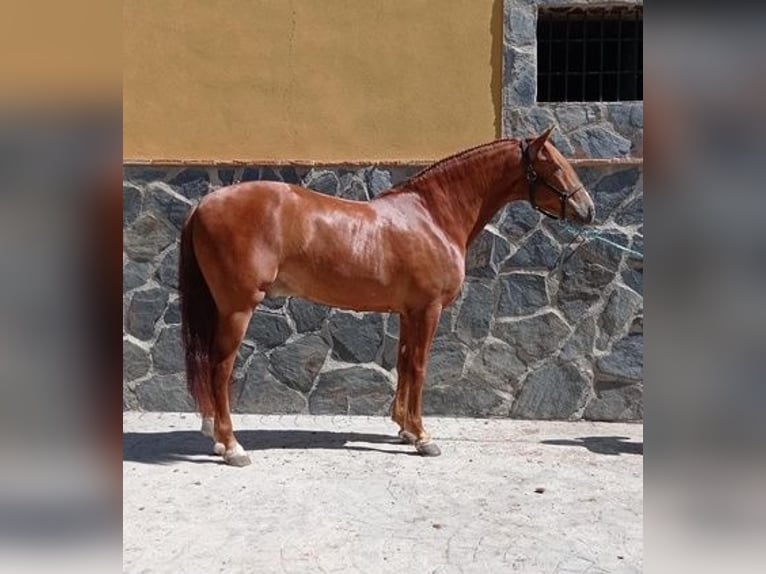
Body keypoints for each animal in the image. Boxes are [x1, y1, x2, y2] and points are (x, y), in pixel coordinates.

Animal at [178, 127, 592, 468]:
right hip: (238, 309)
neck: (433, 217)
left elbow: (404, 362)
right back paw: (232, 446)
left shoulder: (410, 312)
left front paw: (405, 429)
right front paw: (423, 438)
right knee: (220, 368)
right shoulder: (428, 310)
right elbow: (420, 367)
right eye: (554, 165)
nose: (588, 209)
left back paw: (217, 438)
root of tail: (203, 204)